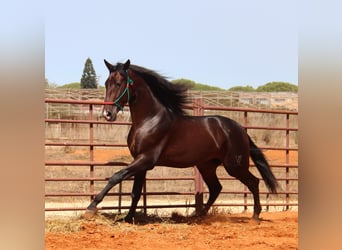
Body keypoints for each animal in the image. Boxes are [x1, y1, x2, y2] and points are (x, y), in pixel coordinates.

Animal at [85, 59, 278, 223]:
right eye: (106, 83)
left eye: (119, 83)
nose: (107, 114)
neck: (149, 120)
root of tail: (240, 130)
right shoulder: (140, 161)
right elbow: (135, 192)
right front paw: (128, 218)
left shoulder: (146, 159)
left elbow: (116, 176)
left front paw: (91, 207)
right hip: (207, 166)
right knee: (216, 188)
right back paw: (197, 215)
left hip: (235, 165)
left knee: (253, 182)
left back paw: (255, 216)